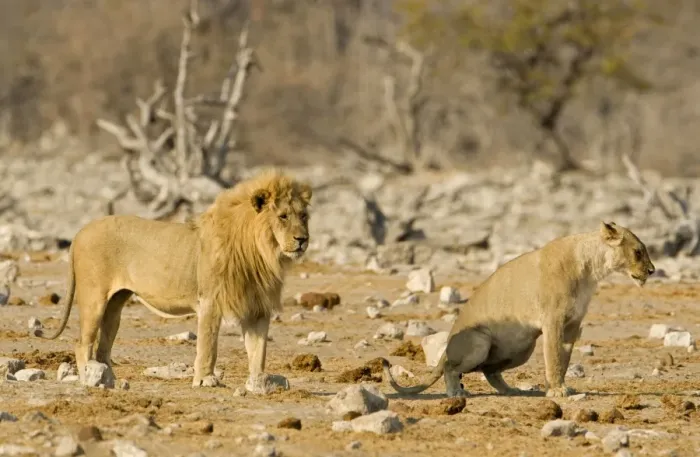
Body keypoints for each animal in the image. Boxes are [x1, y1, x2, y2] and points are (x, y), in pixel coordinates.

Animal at [41, 169, 312, 394]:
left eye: (303, 216)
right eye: (283, 216)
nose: (303, 239)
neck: (262, 253)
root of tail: (80, 232)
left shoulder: (257, 308)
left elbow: (258, 350)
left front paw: (259, 382)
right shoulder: (210, 301)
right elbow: (208, 345)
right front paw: (205, 380)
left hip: (115, 304)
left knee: (103, 346)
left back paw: (110, 380)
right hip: (94, 298)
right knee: (82, 342)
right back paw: (89, 378)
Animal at [382, 222, 655, 398]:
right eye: (638, 251)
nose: (652, 271)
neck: (591, 269)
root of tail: (448, 343)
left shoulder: (572, 324)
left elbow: (564, 358)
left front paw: (560, 386)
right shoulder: (553, 320)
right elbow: (554, 357)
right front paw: (557, 391)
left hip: (524, 348)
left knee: (490, 371)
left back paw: (510, 390)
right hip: (479, 341)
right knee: (451, 366)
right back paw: (455, 392)